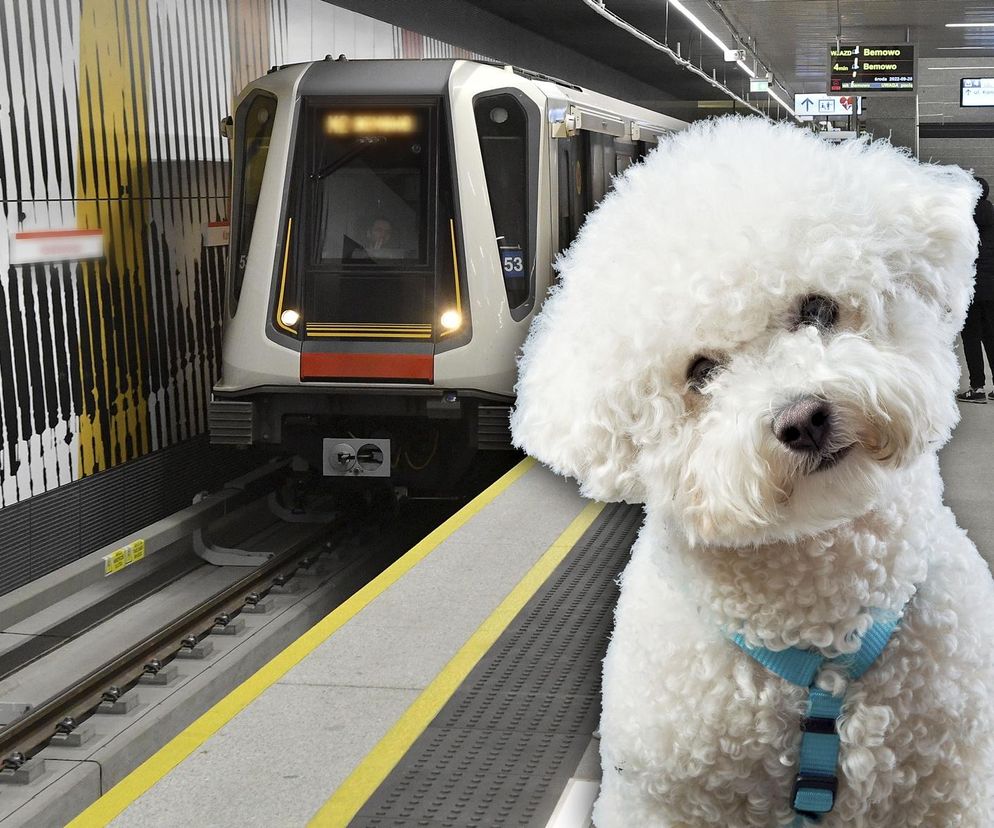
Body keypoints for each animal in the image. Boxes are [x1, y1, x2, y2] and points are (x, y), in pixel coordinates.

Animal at [508, 118, 992, 828]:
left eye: (816, 309)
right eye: (701, 372)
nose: (803, 419)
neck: (824, 655)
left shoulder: (952, 785)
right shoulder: (660, 798)